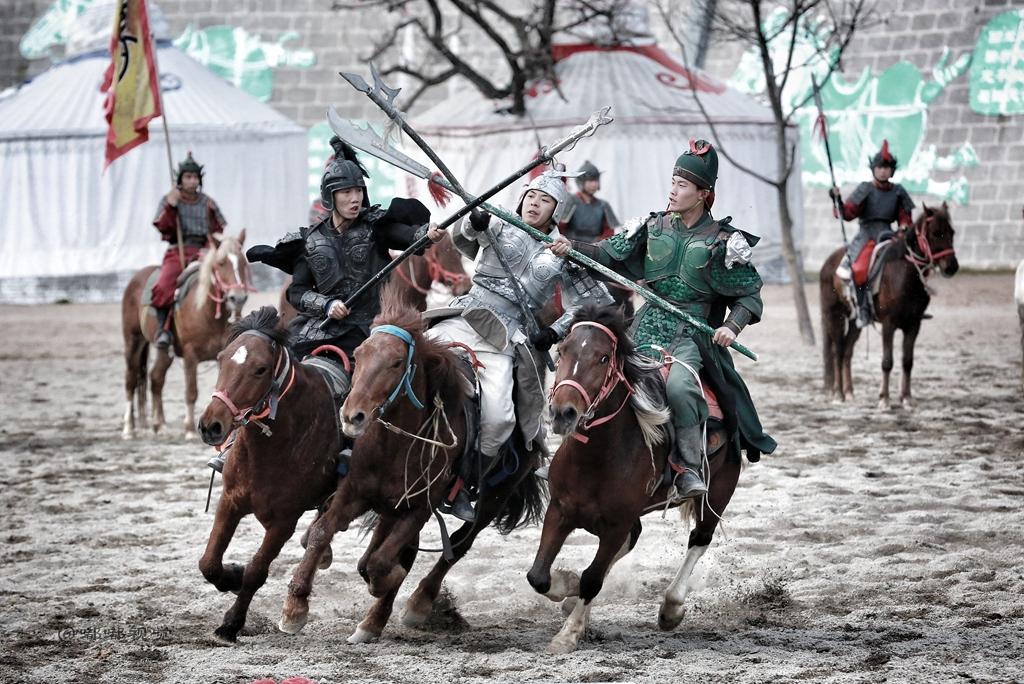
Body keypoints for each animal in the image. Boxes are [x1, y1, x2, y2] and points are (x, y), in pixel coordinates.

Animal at [120, 232, 253, 438]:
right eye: (221, 262)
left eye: (243, 262)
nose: (237, 297)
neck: (206, 311)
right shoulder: (191, 355)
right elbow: (191, 392)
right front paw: (190, 429)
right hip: (133, 340)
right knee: (131, 379)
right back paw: (128, 428)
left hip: (164, 352)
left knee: (156, 378)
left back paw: (160, 425)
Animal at [195, 307, 344, 643]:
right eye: (221, 358)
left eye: (260, 369)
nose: (211, 425)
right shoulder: (230, 501)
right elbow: (209, 563)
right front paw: (232, 576)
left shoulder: (283, 522)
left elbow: (256, 571)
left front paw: (231, 623)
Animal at [276, 286, 548, 643]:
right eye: (359, 354)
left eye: (395, 362)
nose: (352, 416)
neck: (394, 444)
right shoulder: (355, 493)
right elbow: (323, 533)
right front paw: (294, 607)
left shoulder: (420, 507)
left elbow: (381, 564)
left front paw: (387, 583)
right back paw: (374, 620)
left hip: (495, 495)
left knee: (458, 543)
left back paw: (417, 603)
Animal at [528, 307, 745, 655]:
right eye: (561, 350)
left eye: (603, 358)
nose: (563, 413)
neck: (596, 457)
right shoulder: (560, 510)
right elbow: (539, 576)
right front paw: (568, 588)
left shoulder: (616, 523)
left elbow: (592, 578)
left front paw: (569, 633)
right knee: (633, 540)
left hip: (720, 490)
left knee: (699, 539)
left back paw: (671, 608)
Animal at [819, 202, 954, 405]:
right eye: (936, 233)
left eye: (952, 232)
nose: (952, 267)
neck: (906, 275)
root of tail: (827, 263)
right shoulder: (888, 325)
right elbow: (887, 361)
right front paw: (884, 399)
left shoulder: (914, 325)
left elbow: (907, 361)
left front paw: (906, 398)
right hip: (834, 315)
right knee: (838, 351)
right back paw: (838, 394)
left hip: (856, 322)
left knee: (848, 352)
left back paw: (849, 391)